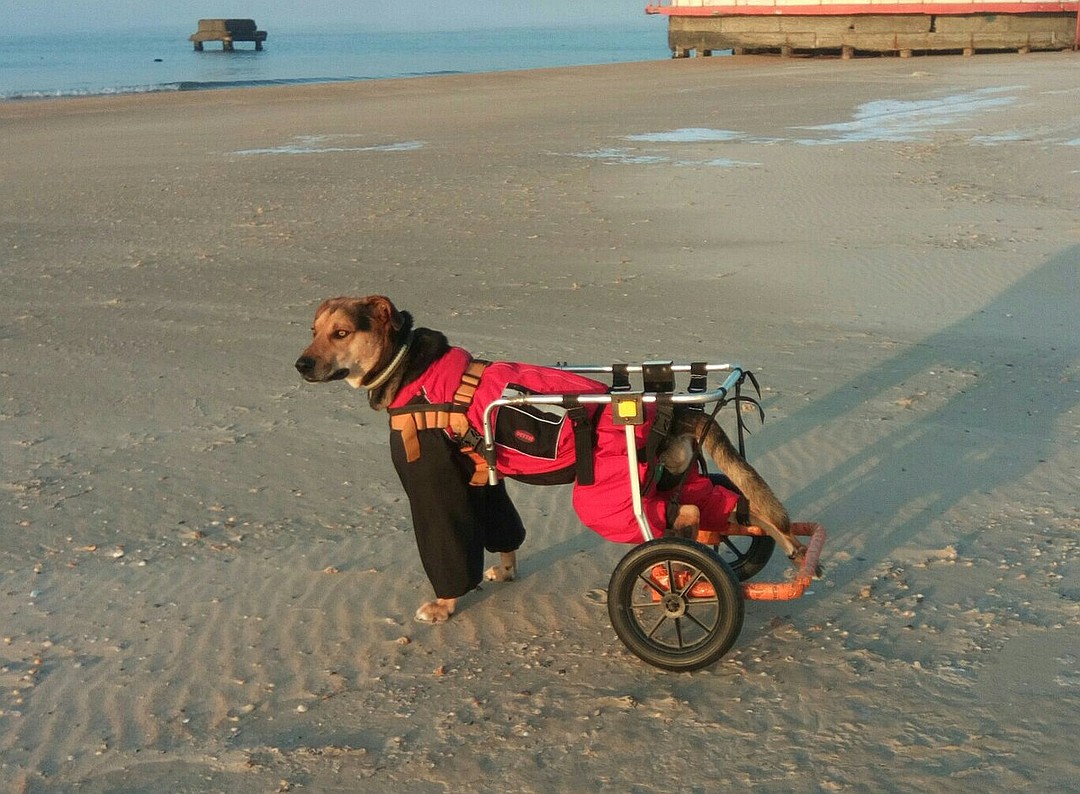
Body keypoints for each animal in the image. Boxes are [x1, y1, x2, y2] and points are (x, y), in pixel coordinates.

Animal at [295, 295, 803, 622]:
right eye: (314, 332)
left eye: (341, 333)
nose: (300, 364)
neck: (410, 366)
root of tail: (678, 413)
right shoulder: (482, 479)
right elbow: (502, 531)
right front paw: (505, 571)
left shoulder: (433, 481)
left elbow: (451, 552)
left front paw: (443, 606)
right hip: (666, 479)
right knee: (728, 505)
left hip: (608, 500)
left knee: (682, 523)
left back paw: (681, 573)